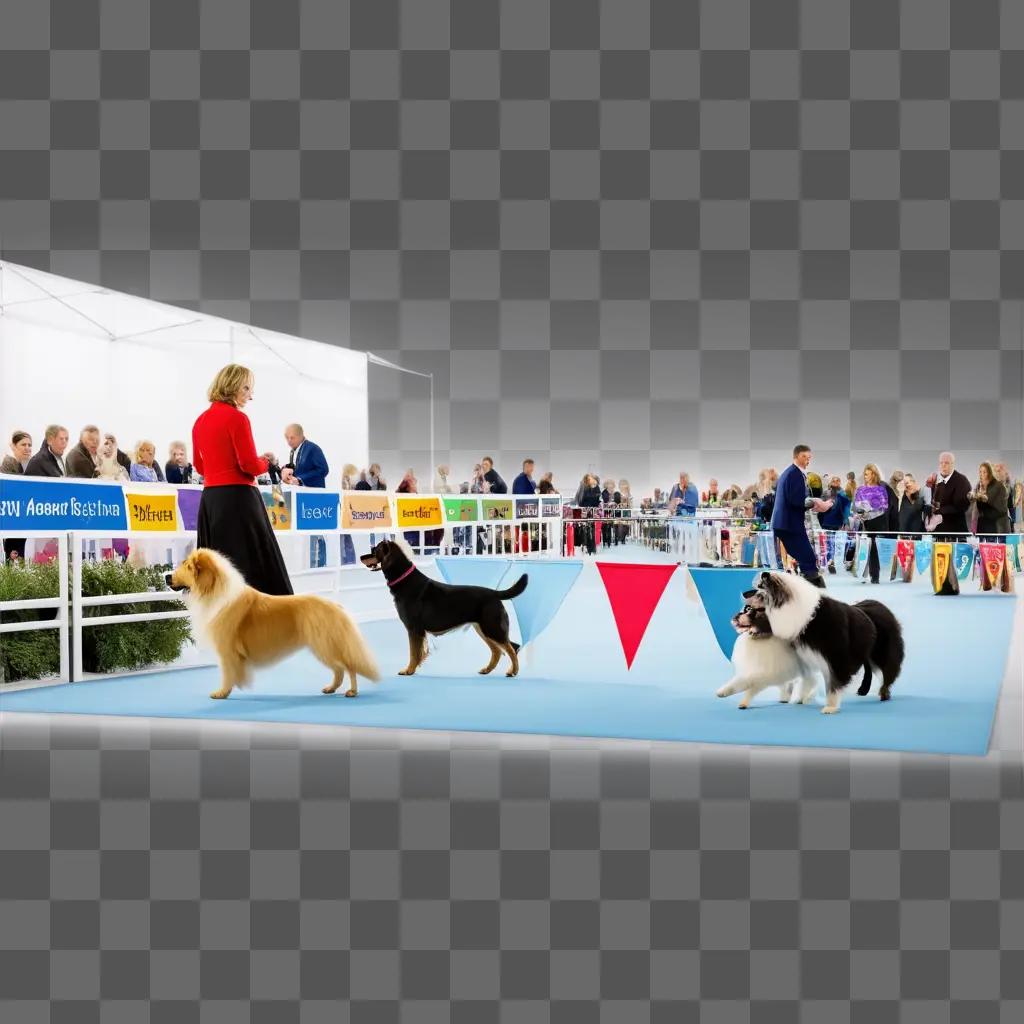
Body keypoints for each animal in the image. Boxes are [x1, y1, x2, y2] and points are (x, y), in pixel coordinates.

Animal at [167, 548, 380, 700]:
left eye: (187, 566)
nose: (167, 576)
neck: (212, 590)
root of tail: (336, 606)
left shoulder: (227, 650)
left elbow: (227, 674)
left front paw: (222, 692)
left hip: (325, 645)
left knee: (348, 667)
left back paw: (352, 691)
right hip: (323, 646)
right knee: (339, 669)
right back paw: (331, 688)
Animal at [362, 536, 528, 679]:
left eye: (374, 550)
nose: (362, 557)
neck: (405, 580)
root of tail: (494, 593)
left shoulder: (414, 629)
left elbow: (413, 653)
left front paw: (408, 670)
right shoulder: (416, 630)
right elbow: (417, 653)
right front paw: (413, 669)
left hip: (492, 627)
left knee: (511, 648)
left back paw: (513, 671)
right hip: (482, 628)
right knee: (499, 650)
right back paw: (487, 669)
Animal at [749, 573, 909, 716]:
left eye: (759, 593)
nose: (745, 596)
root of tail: (882, 606)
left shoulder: (836, 659)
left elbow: (833, 684)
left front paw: (830, 707)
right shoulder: (805, 657)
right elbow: (807, 679)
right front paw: (802, 699)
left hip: (882, 652)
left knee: (888, 672)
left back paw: (884, 694)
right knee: (869, 667)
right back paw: (863, 690)